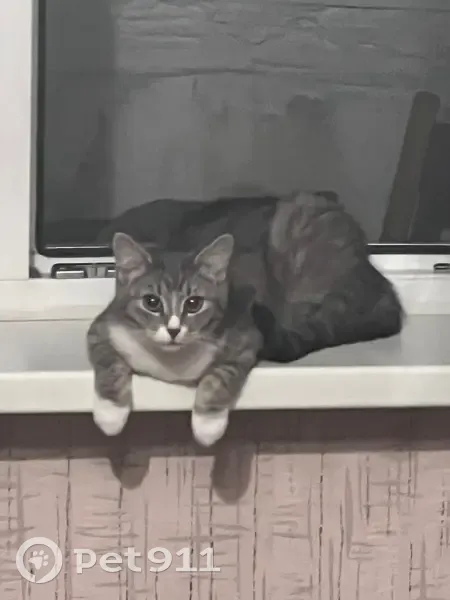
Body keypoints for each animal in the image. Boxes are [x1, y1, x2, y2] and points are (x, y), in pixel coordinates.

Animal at [87, 192, 404, 446]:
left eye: (194, 303)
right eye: (151, 302)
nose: (174, 329)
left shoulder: (246, 334)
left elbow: (222, 375)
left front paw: (208, 425)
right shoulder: (103, 327)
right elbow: (108, 362)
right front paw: (110, 415)